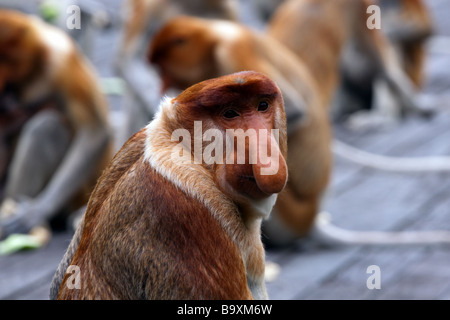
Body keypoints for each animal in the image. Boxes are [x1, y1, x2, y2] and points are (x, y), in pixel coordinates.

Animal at [0, 10, 112, 238]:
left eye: (6, 66)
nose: (7, 99)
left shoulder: (62, 61)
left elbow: (95, 131)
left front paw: (33, 213)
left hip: (77, 194)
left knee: (46, 126)